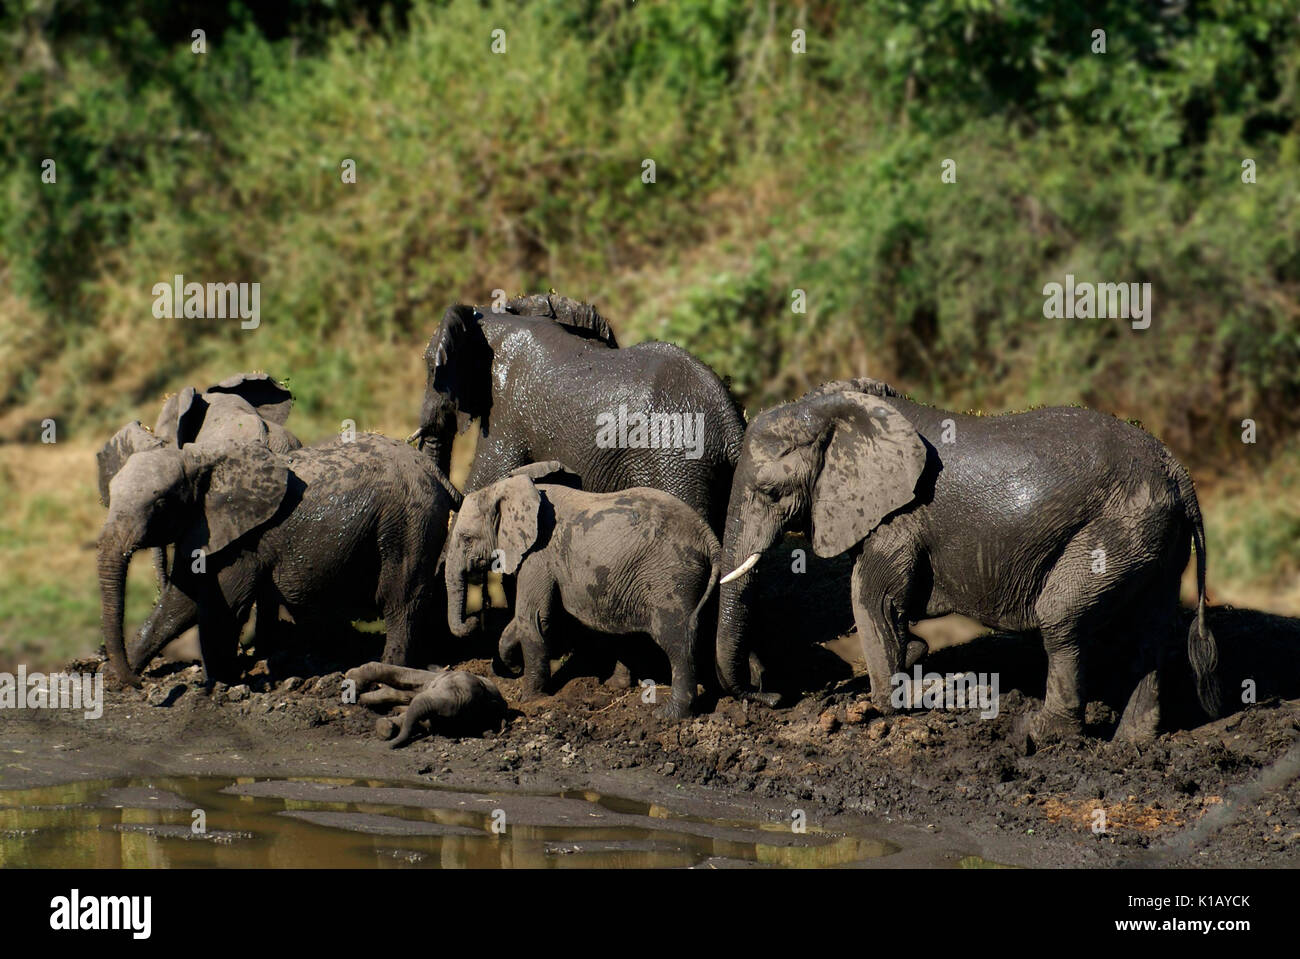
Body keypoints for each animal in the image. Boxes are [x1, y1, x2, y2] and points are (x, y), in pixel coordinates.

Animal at [98, 428, 460, 686]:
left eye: (159, 504)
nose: (134, 684)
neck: (199, 458)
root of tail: (438, 474)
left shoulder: (247, 541)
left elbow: (221, 606)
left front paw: (221, 685)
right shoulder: (206, 529)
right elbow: (179, 602)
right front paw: (122, 675)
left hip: (409, 520)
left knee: (399, 600)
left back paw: (385, 671)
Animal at [345, 657, 506, 748]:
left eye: (444, 715)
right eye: (437, 687)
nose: (389, 746)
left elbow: (419, 720)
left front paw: (385, 728)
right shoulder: (434, 678)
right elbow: (409, 676)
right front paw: (351, 679)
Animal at [441, 462, 717, 717]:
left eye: (467, 539)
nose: (475, 620)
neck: (506, 491)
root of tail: (708, 536)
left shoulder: (539, 555)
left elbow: (534, 618)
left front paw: (530, 699)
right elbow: (523, 620)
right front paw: (511, 664)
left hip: (671, 577)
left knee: (677, 640)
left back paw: (668, 715)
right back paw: (615, 686)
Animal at [717, 376, 1222, 743]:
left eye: (770, 492)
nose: (771, 697)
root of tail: (1178, 472)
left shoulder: (899, 519)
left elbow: (872, 597)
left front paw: (907, 696)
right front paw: (917, 657)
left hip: (1117, 528)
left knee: (1062, 616)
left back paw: (1039, 733)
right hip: (1153, 539)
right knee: (1150, 629)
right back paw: (1131, 745)